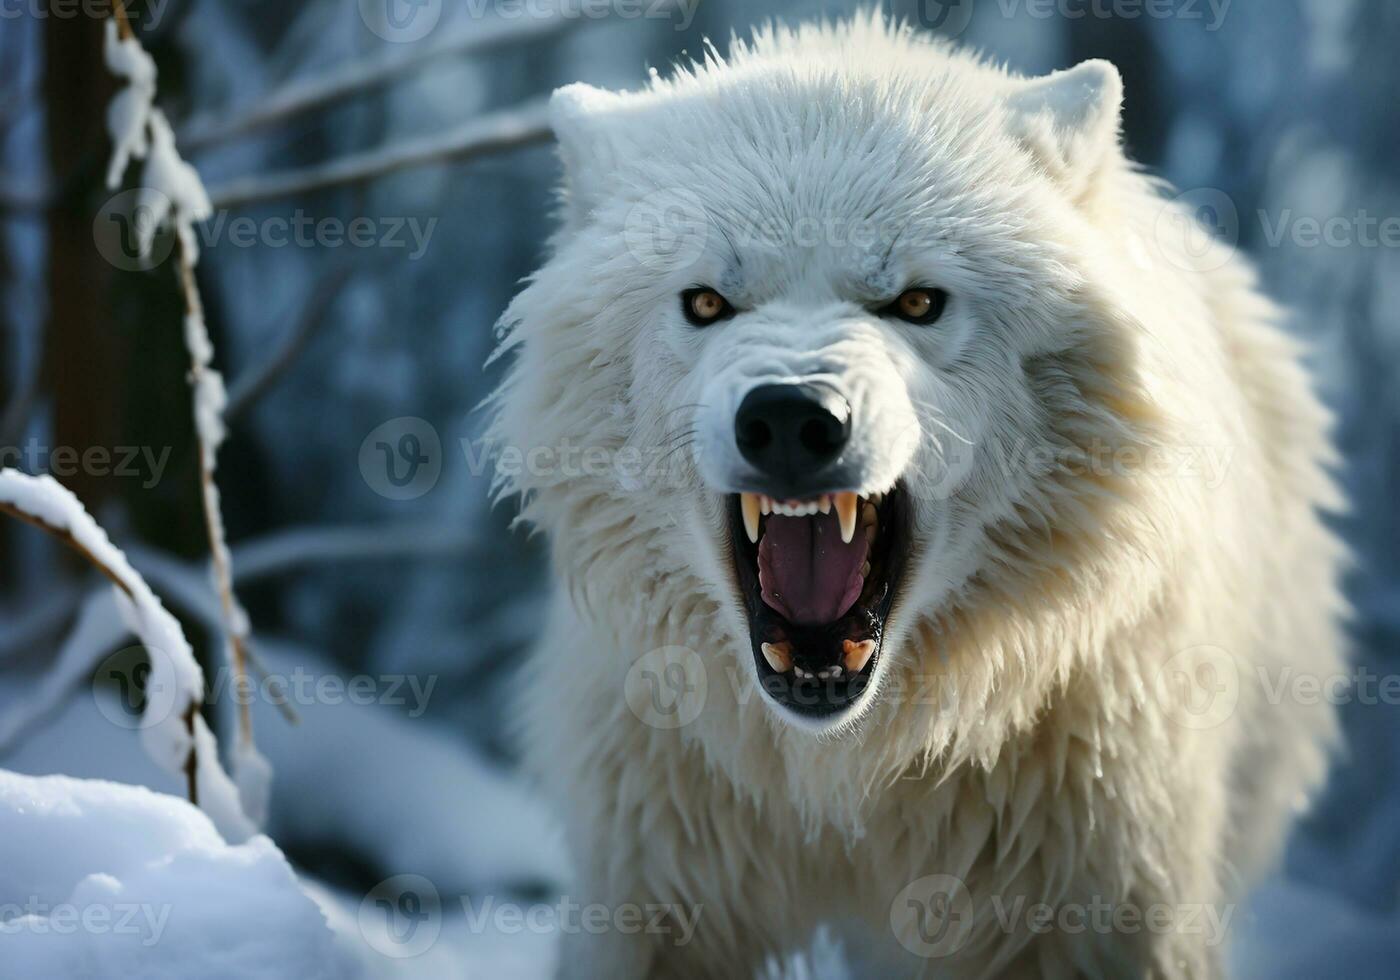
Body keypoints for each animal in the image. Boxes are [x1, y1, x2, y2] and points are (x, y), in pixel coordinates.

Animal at [490, 11, 1344, 974]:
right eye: (706, 303)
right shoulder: (657, 880)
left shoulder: (1099, 892)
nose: (791, 418)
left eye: (918, 302)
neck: (848, 777)